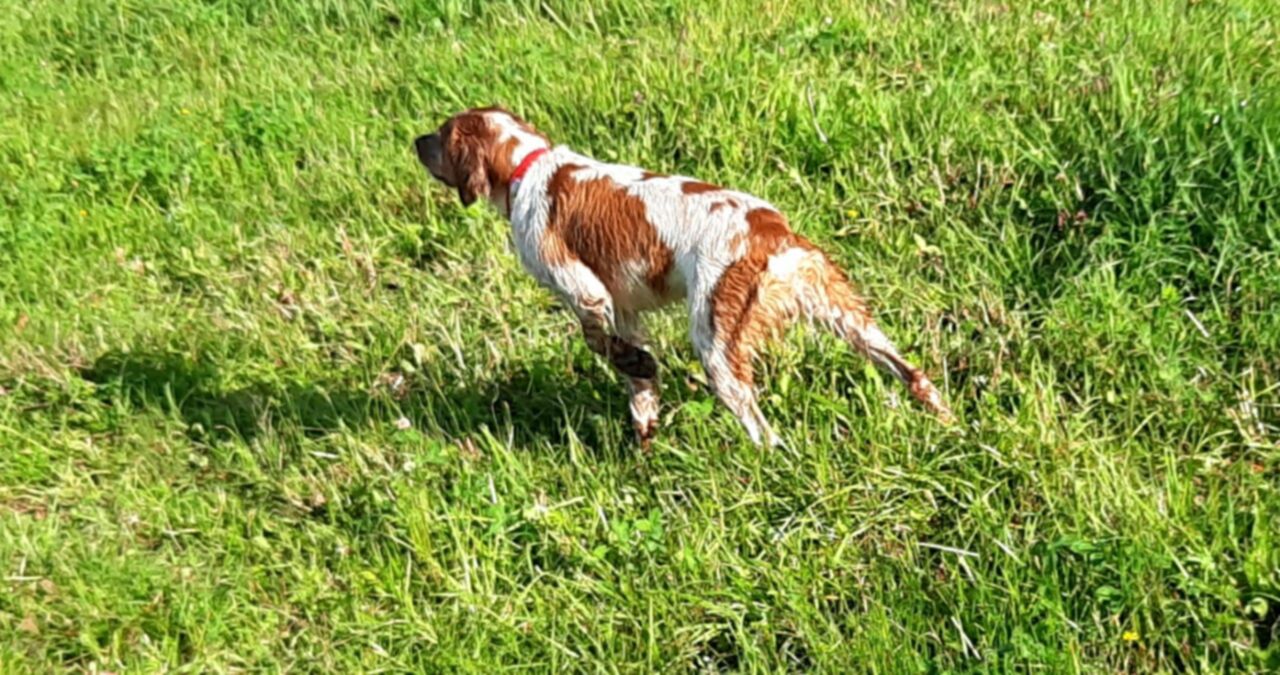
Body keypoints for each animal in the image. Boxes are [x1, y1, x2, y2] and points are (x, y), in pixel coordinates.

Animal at [414, 106, 957, 448]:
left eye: (441, 134)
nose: (415, 140)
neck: (528, 165)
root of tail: (771, 231)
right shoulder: (624, 307)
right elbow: (636, 380)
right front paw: (644, 427)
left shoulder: (583, 290)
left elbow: (601, 343)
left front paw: (638, 371)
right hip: (844, 311)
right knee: (911, 371)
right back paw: (948, 423)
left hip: (717, 340)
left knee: (764, 431)